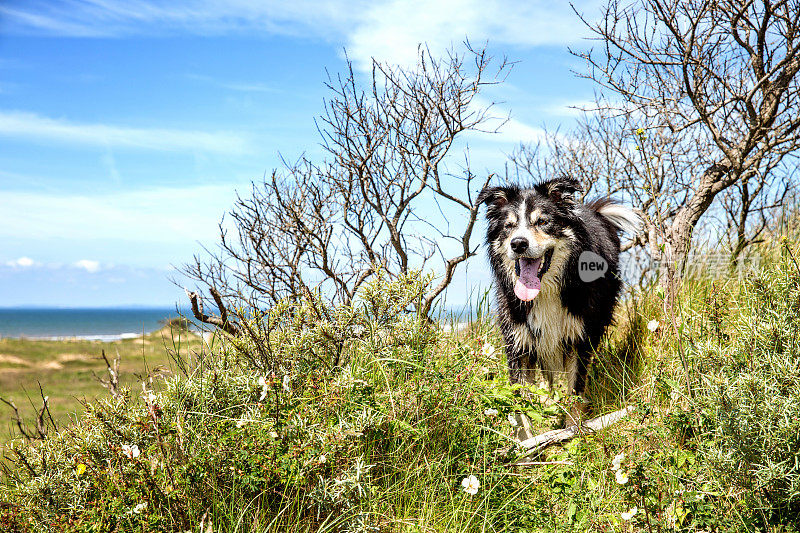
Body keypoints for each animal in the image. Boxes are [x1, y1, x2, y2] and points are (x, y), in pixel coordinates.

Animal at [478, 178, 640, 424]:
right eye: (509, 226)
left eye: (542, 221)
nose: (518, 243)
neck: (545, 292)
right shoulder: (518, 339)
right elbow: (521, 399)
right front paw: (527, 431)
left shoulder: (578, 336)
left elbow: (575, 387)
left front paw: (573, 428)